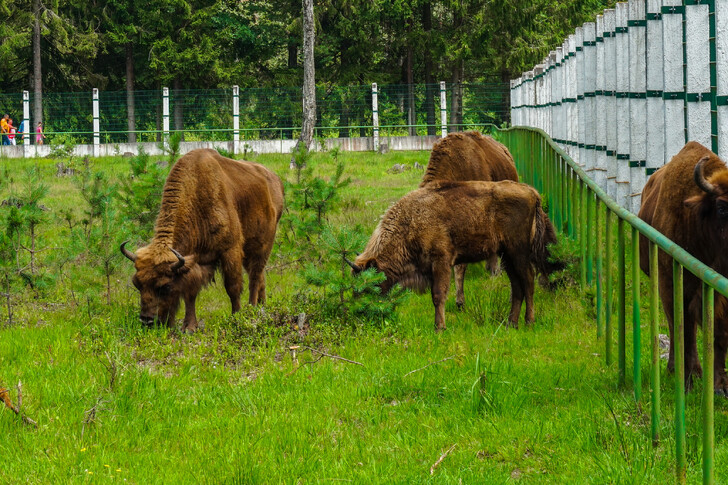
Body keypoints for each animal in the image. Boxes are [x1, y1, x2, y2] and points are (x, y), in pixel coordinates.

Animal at [121, 148, 282, 332]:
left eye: (165, 286)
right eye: (136, 283)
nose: (147, 321)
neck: (197, 195)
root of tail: (275, 180)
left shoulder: (230, 250)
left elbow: (233, 287)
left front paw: (236, 316)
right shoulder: (196, 261)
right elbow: (190, 293)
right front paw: (190, 327)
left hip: (262, 246)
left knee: (254, 277)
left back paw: (252, 308)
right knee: (260, 276)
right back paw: (262, 305)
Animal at [352, 180, 564, 330]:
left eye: (370, 284)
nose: (360, 312)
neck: (410, 220)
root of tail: (533, 193)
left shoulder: (441, 262)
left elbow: (438, 295)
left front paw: (439, 327)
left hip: (518, 252)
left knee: (528, 281)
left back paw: (529, 322)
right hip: (506, 255)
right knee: (517, 286)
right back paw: (511, 323)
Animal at [640, 140, 728, 394]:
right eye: (722, 208)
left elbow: (719, 333)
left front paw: (720, 386)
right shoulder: (674, 286)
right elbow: (684, 332)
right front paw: (688, 380)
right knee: (675, 326)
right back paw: (677, 369)